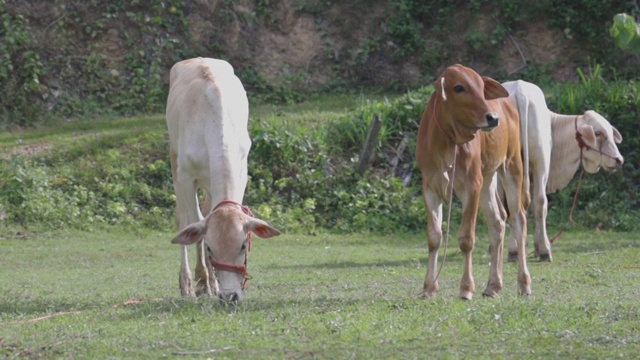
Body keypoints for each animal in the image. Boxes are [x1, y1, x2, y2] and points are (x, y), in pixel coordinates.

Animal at [168, 57, 280, 304]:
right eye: (210, 248)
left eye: (243, 245)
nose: (230, 297)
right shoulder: (186, 175)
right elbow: (195, 221)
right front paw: (202, 282)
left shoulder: (242, 167)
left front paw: (212, 281)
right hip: (173, 157)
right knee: (182, 218)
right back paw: (188, 283)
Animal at [502, 80, 624, 262]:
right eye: (598, 133)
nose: (619, 160)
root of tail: (520, 91)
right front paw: (537, 248)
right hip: (541, 161)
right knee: (539, 203)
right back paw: (545, 250)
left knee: (518, 204)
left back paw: (518, 251)